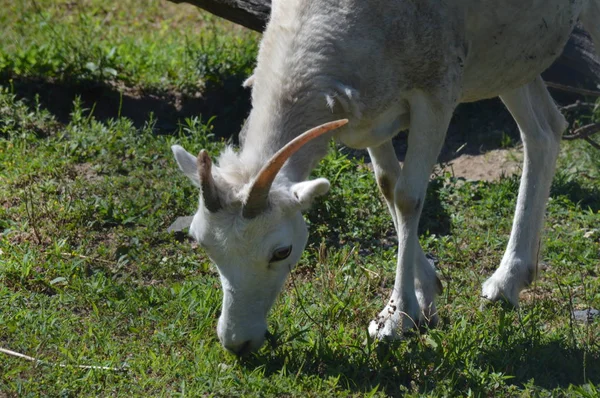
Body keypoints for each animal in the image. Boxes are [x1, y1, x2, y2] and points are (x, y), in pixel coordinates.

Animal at [170, 0, 600, 354]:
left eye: (281, 251)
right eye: (203, 244)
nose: (237, 343)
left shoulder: (437, 91)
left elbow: (410, 197)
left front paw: (395, 319)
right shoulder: (371, 117)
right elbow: (389, 188)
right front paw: (426, 299)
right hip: (512, 55)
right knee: (543, 131)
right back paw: (507, 282)